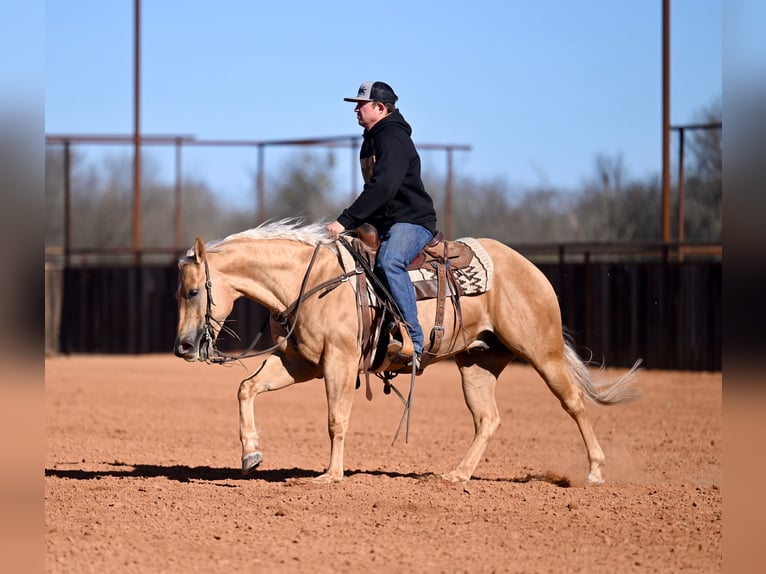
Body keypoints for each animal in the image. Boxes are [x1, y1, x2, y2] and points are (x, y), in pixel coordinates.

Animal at [174, 220, 640, 484]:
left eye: (194, 291)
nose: (182, 346)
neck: (313, 280)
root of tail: (529, 268)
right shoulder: (299, 361)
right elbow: (246, 388)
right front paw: (250, 454)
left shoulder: (339, 362)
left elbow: (336, 419)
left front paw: (330, 476)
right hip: (478, 362)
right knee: (488, 419)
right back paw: (456, 475)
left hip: (542, 351)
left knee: (574, 402)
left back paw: (595, 471)